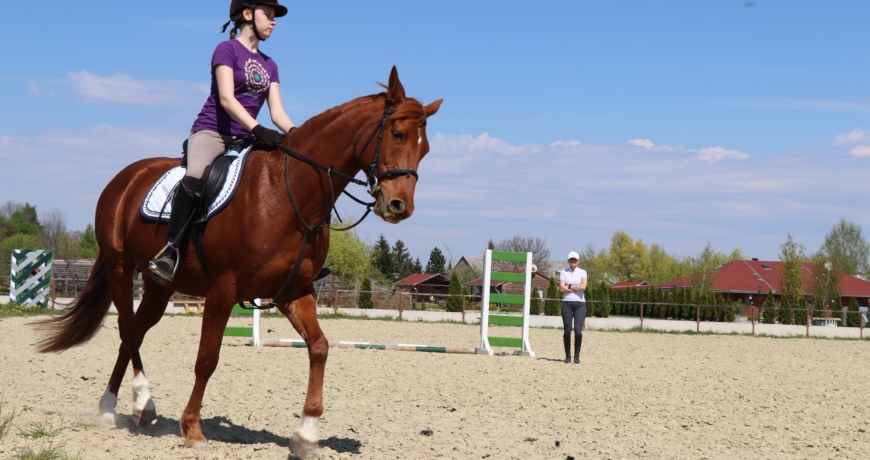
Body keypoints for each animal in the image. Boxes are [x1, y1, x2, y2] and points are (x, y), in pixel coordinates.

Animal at [35, 66, 442, 458]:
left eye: (425, 150)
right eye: (398, 135)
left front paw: (306, 434)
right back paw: (141, 402)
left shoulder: (293, 292)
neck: (288, 192)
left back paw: (113, 408)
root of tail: (126, 176)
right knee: (127, 328)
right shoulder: (223, 290)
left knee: (133, 331)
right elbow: (207, 359)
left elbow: (320, 347)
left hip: (158, 285)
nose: (399, 206)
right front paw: (193, 430)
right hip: (120, 267)